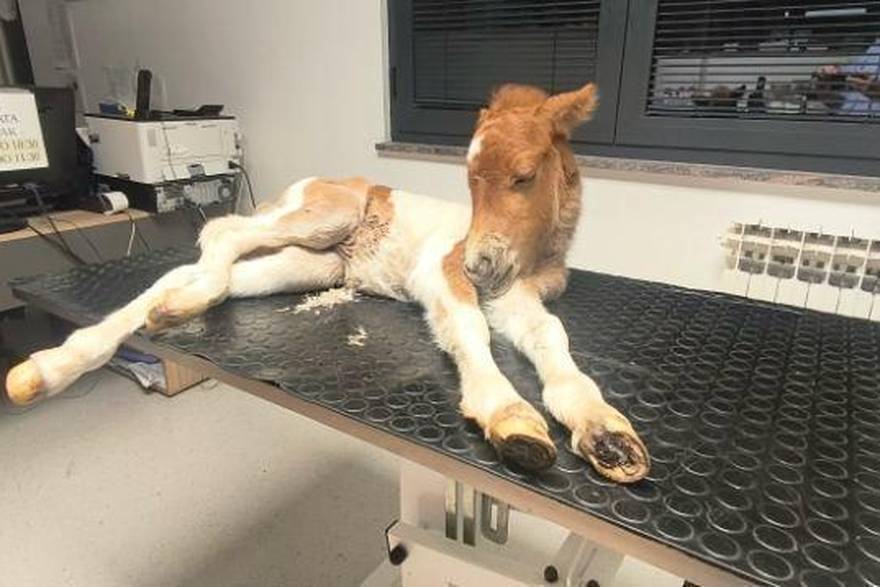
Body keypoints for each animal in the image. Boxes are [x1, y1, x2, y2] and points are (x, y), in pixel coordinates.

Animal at [6, 82, 650, 483]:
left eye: (524, 175)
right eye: (469, 178)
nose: (478, 263)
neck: (529, 258)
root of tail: (303, 185)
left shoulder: (518, 298)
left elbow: (552, 342)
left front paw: (605, 434)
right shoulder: (444, 276)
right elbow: (470, 333)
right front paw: (510, 419)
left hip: (308, 263)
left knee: (207, 270)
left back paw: (123, 332)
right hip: (324, 216)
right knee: (221, 232)